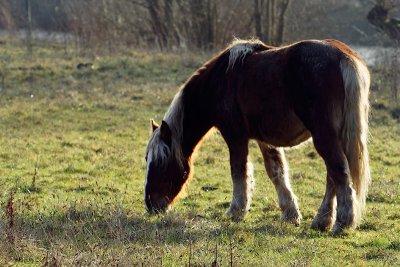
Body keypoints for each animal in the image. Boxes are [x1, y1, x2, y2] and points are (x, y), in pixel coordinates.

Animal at [143, 38, 368, 233]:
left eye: (161, 162)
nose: (151, 205)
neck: (220, 80)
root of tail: (343, 57)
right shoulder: (264, 139)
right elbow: (276, 171)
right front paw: (290, 214)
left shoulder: (235, 136)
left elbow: (239, 171)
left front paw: (236, 211)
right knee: (333, 175)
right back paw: (322, 221)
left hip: (324, 136)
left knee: (338, 171)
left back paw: (342, 222)